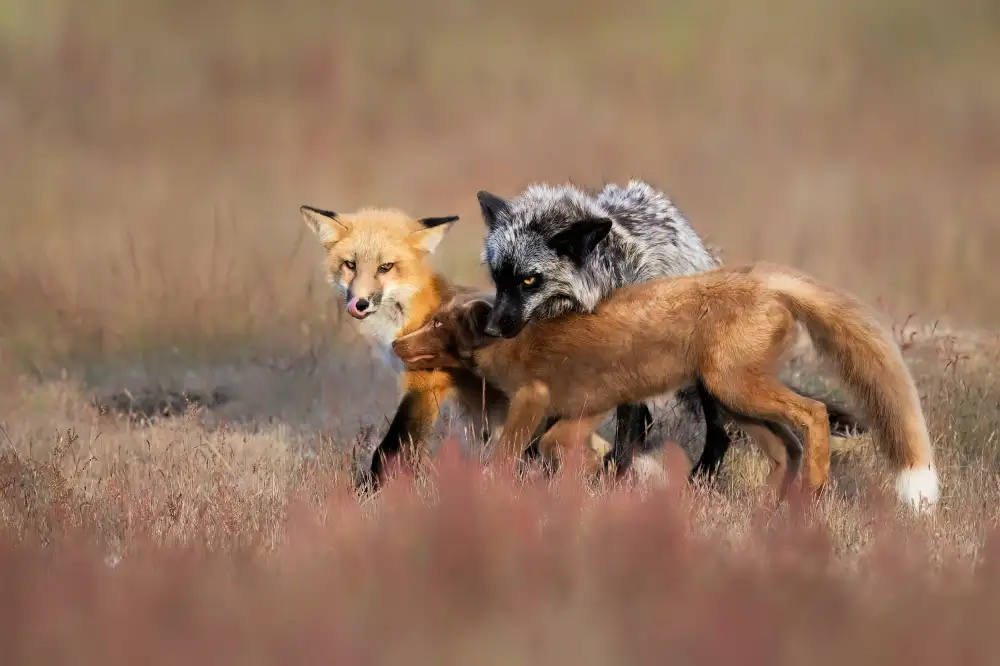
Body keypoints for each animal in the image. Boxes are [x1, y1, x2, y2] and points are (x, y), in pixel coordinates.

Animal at [299, 205, 612, 491]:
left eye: (385, 267)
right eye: (350, 265)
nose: (360, 303)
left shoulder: (426, 381)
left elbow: (391, 447)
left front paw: (369, 492)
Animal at [391, 260, 941, 514]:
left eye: (437, 325)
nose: (396, 344)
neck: (512, 342)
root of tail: (764, 278)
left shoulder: (537, 398)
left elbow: (512, 451)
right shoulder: (586, 407)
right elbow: (559, 447)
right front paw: (593, 479)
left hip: (737, 389)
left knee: (814, 415)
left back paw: (815, 489)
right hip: (734, 402)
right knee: (786, 446)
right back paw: (770, 509)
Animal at [475, 180, 865, 479]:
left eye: (529, 280)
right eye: (498, 277)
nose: (490, 329)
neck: (603, 288)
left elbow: (625, 435)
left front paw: (610, 483)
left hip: (712, 379)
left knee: (718, 435)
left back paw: (699, 480)